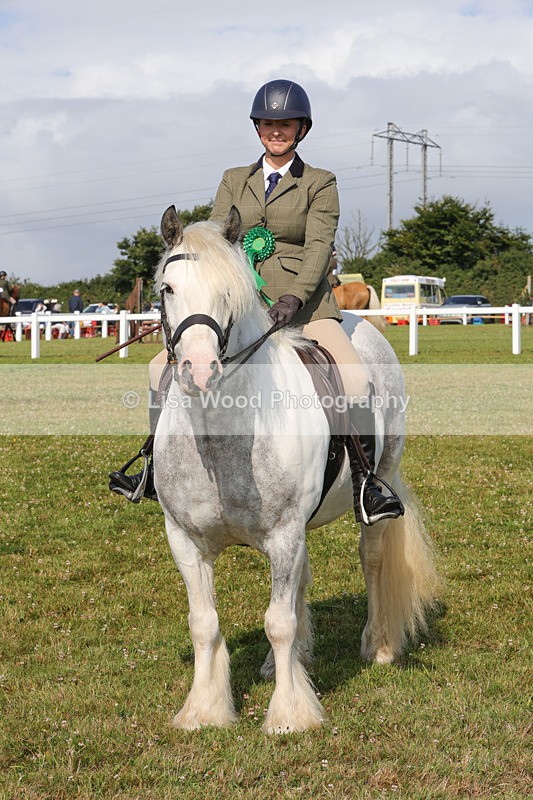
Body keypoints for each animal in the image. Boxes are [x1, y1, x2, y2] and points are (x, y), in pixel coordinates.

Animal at [152, 206, 438, 733]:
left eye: (230, 292)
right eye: (168, 289)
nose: (199, 371)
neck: (222, 436)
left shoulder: (284, 534)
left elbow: (278, 621)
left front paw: (289, 714)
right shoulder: (184, 539)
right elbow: (204, 624)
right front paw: (203, 709)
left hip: (380, 480)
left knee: (372, 558)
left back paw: (379, 646)